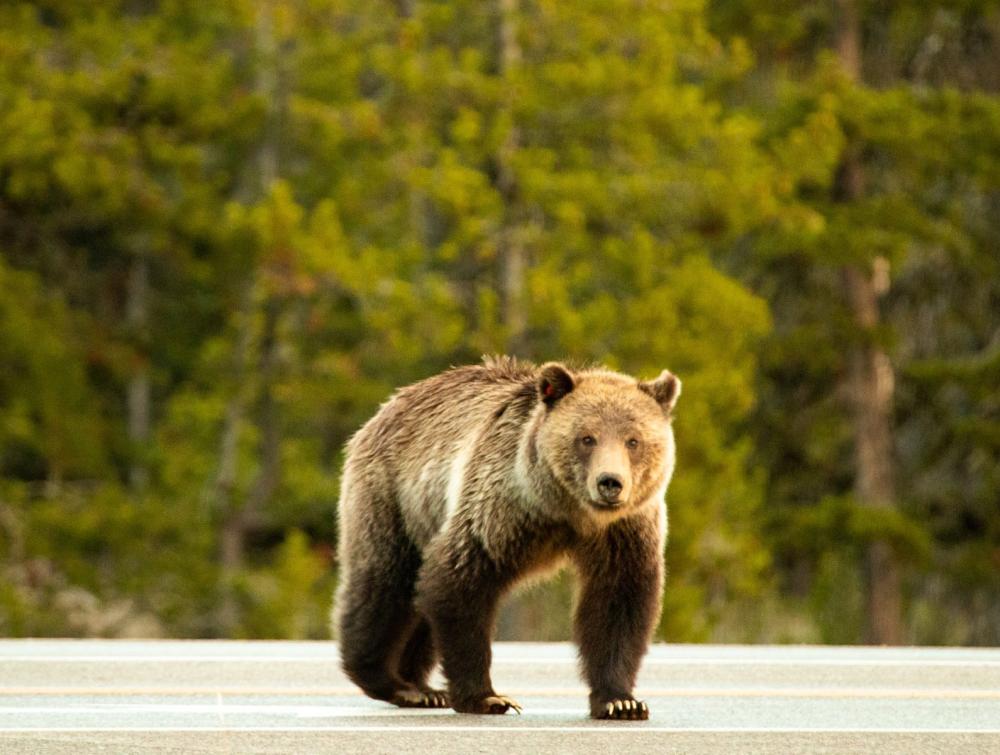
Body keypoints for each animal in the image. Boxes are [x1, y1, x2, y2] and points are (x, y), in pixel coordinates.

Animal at [336, 358, 680, 724]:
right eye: (587, 438)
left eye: (633, 440)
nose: (610, 482)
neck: (566, 510)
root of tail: (386, 407)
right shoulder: (502, 506)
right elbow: (461, 581)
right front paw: (487, 697)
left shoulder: (624, 531)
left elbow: (618, 603)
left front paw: (621, 702)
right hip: (394, 500)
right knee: (384, 586)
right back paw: (391, 681)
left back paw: (422, 687)